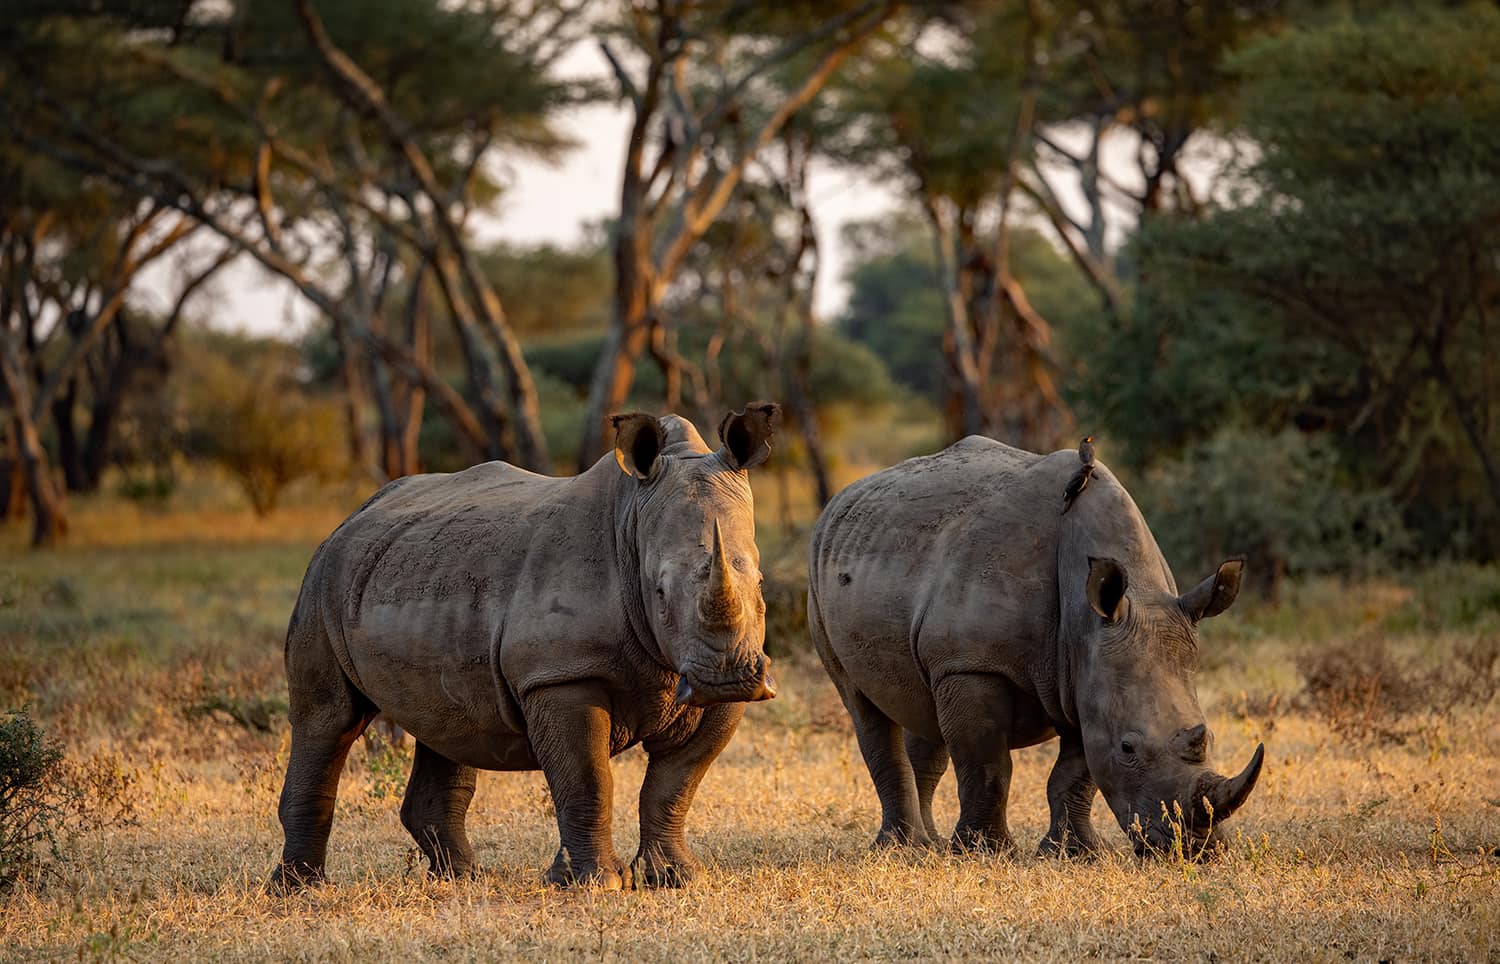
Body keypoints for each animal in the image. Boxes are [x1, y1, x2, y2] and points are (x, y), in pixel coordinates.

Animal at [270, 405, 780, 892]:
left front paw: (673, 878)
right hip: (322, 579)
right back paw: (300, 890)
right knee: (328, 719)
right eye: (658, 591)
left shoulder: (708, 684)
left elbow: (674, 785)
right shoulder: (560, 674)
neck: (632, 518)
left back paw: (464, 879)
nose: (728, 677)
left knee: (447, 723)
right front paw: (596, 883)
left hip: (419, 569)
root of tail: (351, 517)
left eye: (760, 583)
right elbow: (588, 779)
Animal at [807, 437, 1263, 859]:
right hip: (820, 583)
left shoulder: (1087, 671)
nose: (1195, 849)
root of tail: (839, 501)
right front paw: (985, 853)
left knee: (921, 710)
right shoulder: (971, 663)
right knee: (862, 705)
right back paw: (901, 849)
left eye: (1207, 738)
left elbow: (1075, 773)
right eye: (1127, 748)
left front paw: (1075, 853)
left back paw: (928, 846)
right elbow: (989, 764)